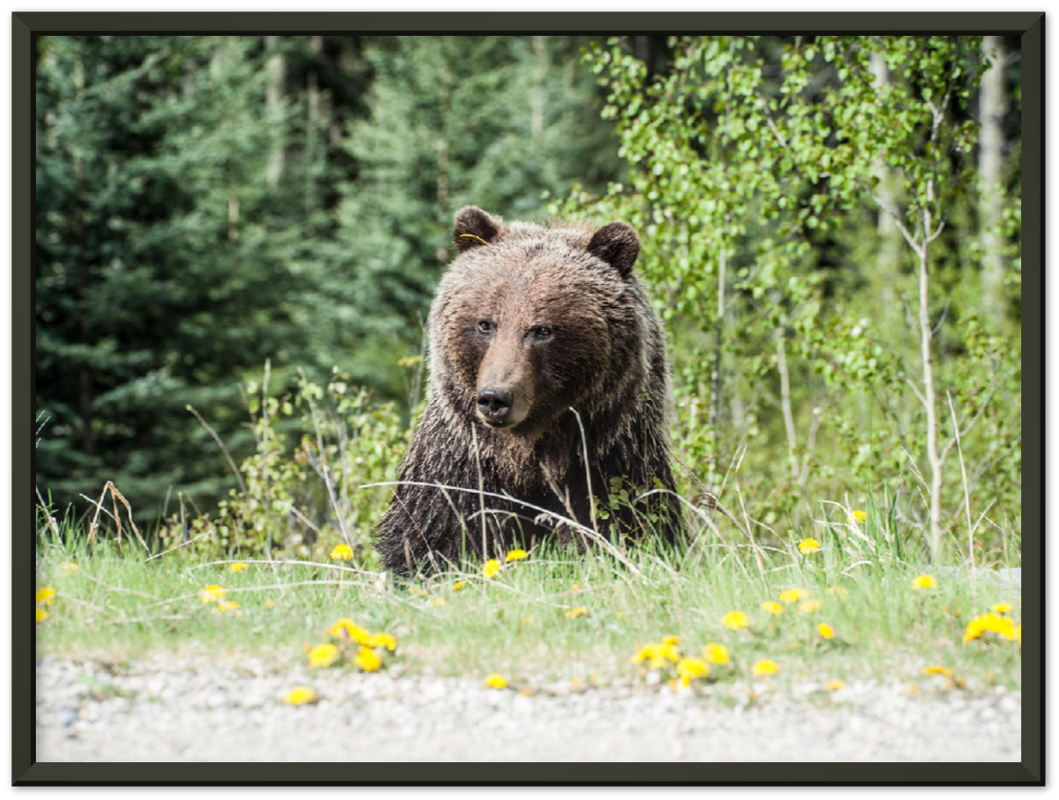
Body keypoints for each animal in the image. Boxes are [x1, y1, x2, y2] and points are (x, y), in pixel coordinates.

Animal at [375, 206, 684, 576]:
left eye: (542, 330)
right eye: (485, 324)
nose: (495, 398)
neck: (528, 454)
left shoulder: (609, 458)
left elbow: (627, 523)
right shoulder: (463, 462)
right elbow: (435, 535)